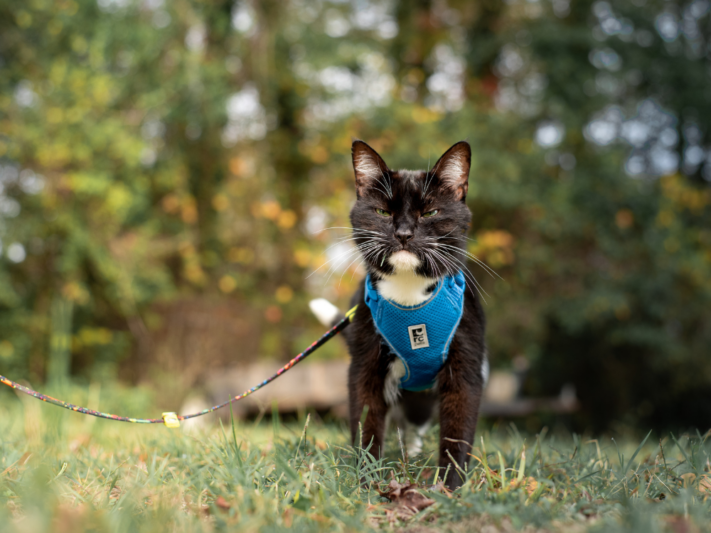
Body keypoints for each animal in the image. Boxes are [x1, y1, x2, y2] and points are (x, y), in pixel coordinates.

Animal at [312, 139, 490, 488]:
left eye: (431, 212)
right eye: (383, 212)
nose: (404, 233)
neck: (409, 293)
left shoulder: (466, 360)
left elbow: (458, 428)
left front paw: (449, 486)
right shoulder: (365, 360)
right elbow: (366, 419)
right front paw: (367, 481)